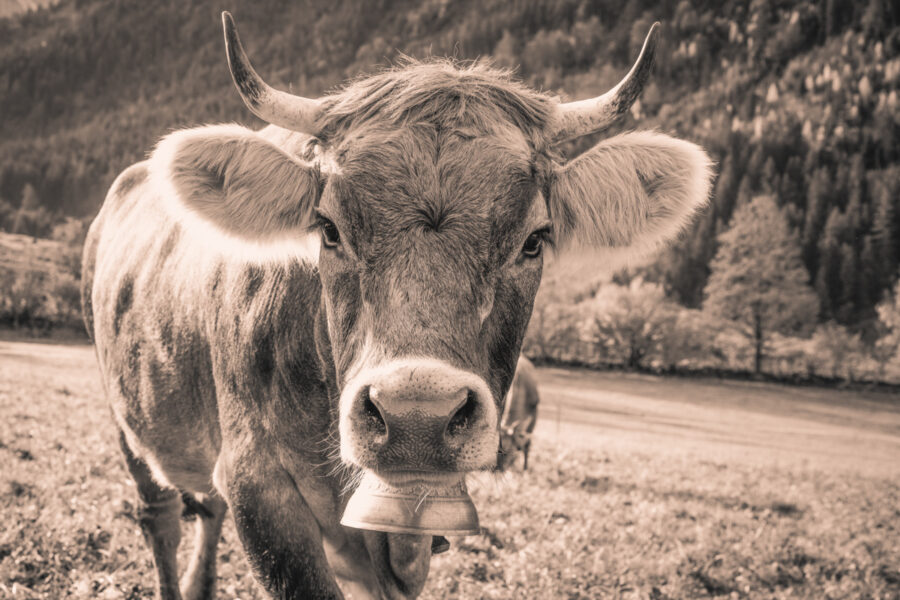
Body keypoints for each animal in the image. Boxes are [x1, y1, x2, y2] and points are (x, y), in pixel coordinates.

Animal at [82, 10, 712, 600]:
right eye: (329, 229)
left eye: (534, 240)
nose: (417, 416)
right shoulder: (258, 485)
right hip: (125, 415)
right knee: (161, 517)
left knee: (204, 509)